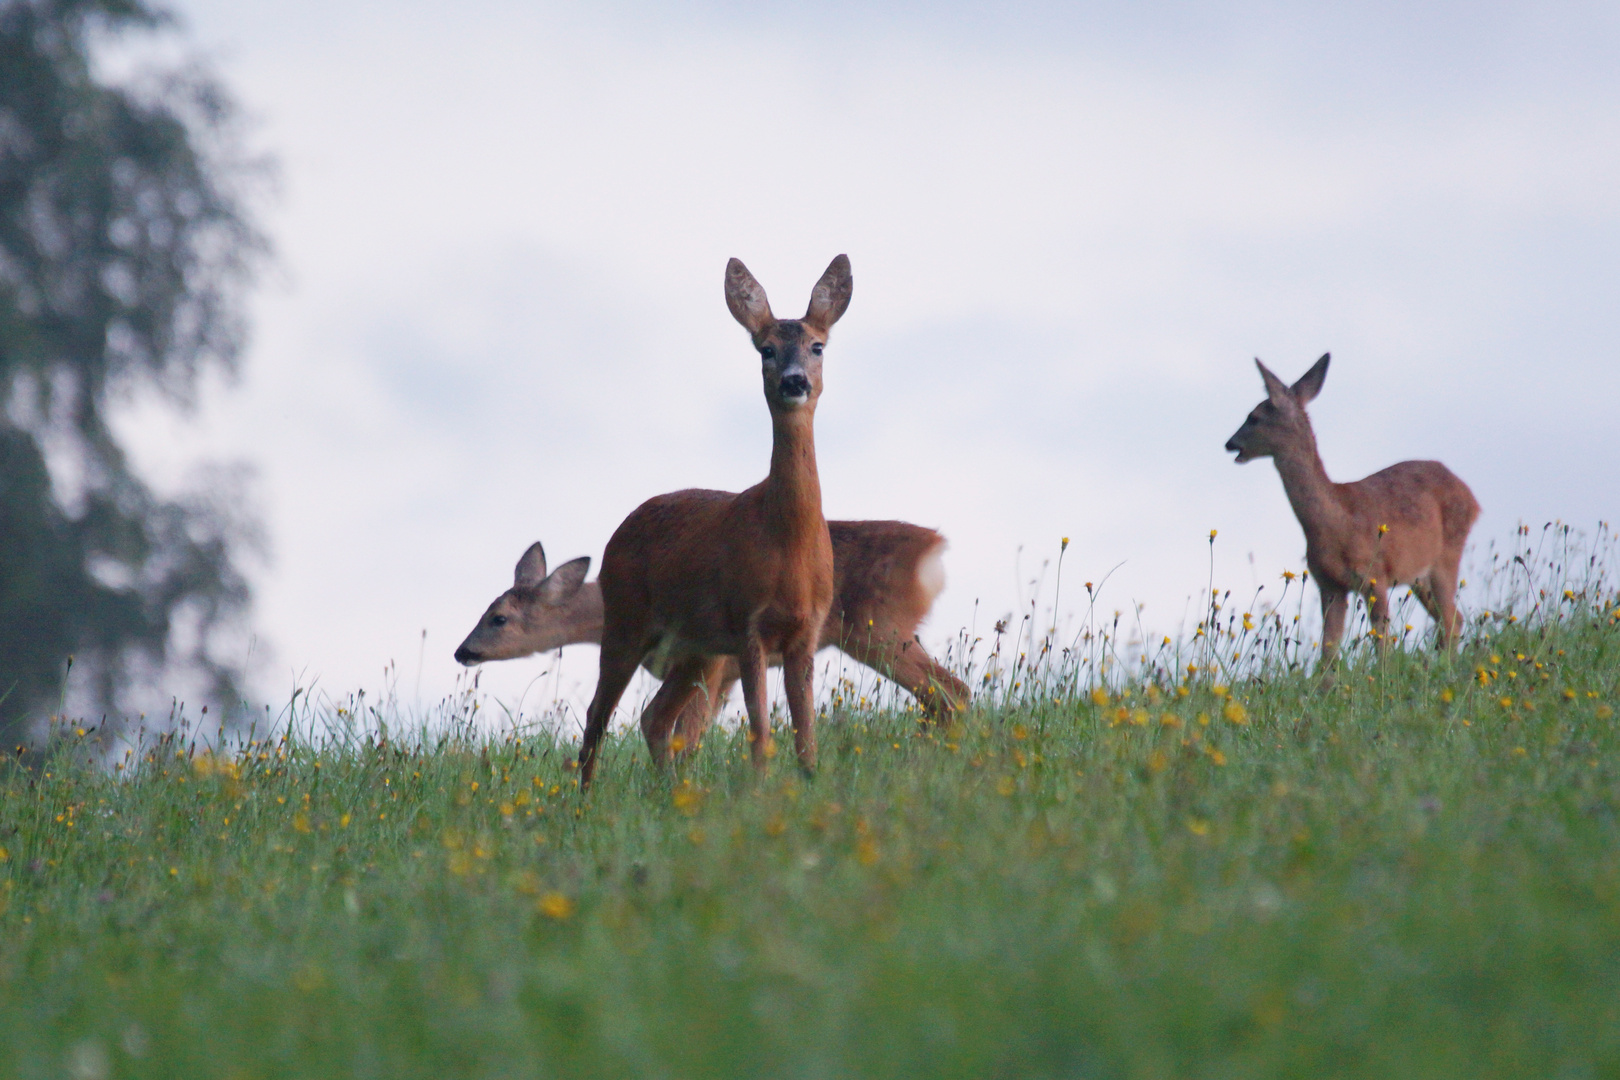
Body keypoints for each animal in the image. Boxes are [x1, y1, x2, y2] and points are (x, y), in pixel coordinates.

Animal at [450, 527, 965, 748]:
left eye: (498, 618)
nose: (462, 651)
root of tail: (937, 547)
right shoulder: (727, 672)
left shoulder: (715, 663)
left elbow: (687, 729)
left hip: (878, 627)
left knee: (950, 690)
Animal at [573, 257, 848, 790]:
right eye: (765, 349)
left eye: (817, 345)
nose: (794, 381)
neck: (789, 546)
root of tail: (619, 530)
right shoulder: (747, 620)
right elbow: (761, 727)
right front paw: (761, 789)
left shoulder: (807, 628)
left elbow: (806, 731)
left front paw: (810, 784)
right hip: (626, 617)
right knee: (599, 715)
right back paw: (583, 798)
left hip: (695, 646)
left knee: (655, 716)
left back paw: (671, 793)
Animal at [1224, 352, 1483, 667]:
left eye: (1254, 417)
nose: (1229, 443)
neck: (1335, 521)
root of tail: (1471, 496)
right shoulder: (1329, 584)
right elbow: (1328, 650)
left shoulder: (1376, 576)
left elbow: (1382, 642)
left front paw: (1382, 675)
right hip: (1419, 576)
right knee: (1451, 618)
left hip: (1447, 553)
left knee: (1451, 619)